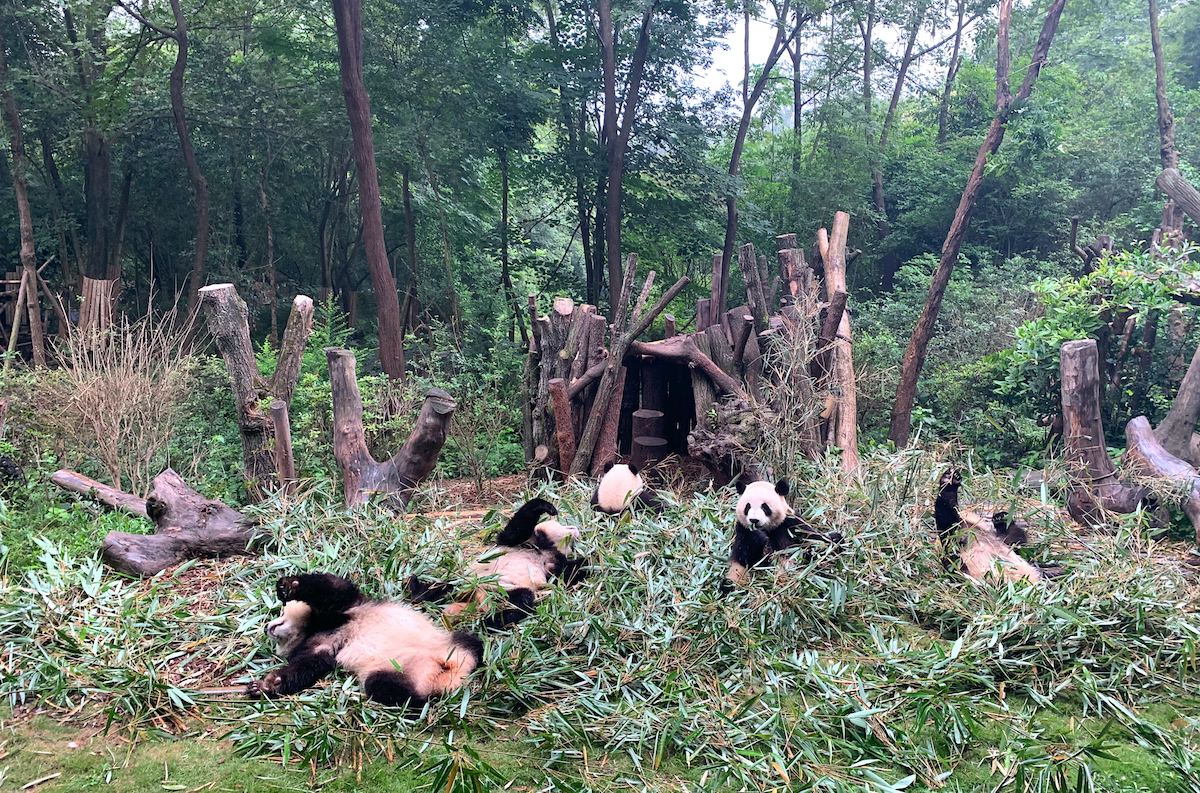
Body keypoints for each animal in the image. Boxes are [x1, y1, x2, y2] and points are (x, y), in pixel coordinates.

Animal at [246, 572, 483, 711]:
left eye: (281, 612)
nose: (266, 627)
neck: (312, 627)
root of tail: (445, 671)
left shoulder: (346, 608)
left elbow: (332, 589)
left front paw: (289, 586)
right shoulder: (325, 645)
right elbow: (305, 666)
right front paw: (266, 685)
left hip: (445, 642)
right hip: (400, 670)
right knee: (388, 688)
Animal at [407, 497, 588, 628]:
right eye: (561, 524)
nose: (575, 529)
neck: (546, 548)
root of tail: (478, 600)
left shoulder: (553, 564)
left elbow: (567, 574)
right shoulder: (521, 543)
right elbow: (515, 530)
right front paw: (545, 507)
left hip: (502, 589)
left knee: (519, 602)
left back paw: (487, 621)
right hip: (468, 581)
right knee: (442, 588)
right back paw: (416, 589)